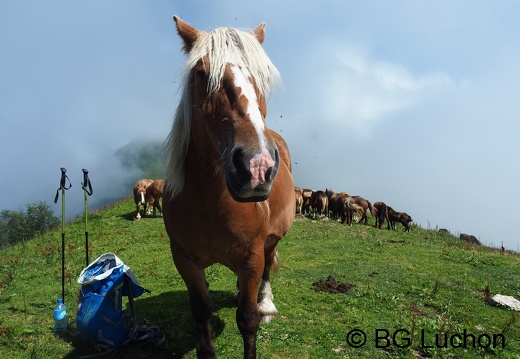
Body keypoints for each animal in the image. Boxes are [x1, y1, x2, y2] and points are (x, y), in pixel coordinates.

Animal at [162, 16, 294, 359]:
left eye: (261, 75)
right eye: (201, 73)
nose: (257, 165)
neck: (212, 202)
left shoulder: (252, 257)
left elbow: (248, 319)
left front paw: (257, 309)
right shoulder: (184, 260)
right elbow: (201, 311)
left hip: (271, 242)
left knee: (265, 272)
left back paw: (266, 302)